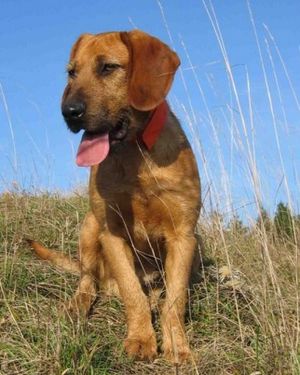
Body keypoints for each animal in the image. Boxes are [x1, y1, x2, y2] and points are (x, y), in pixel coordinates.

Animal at [27, 29, 202, 364]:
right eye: (72, 72)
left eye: (108, 67)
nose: (69, 112)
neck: (135, 156)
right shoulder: (112, 231)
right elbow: (132, 292)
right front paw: (141, 339)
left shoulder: (183, 236)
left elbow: (175, 299)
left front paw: (178, 346)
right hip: (89, 226)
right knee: (88, 281)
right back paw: (78, 305)